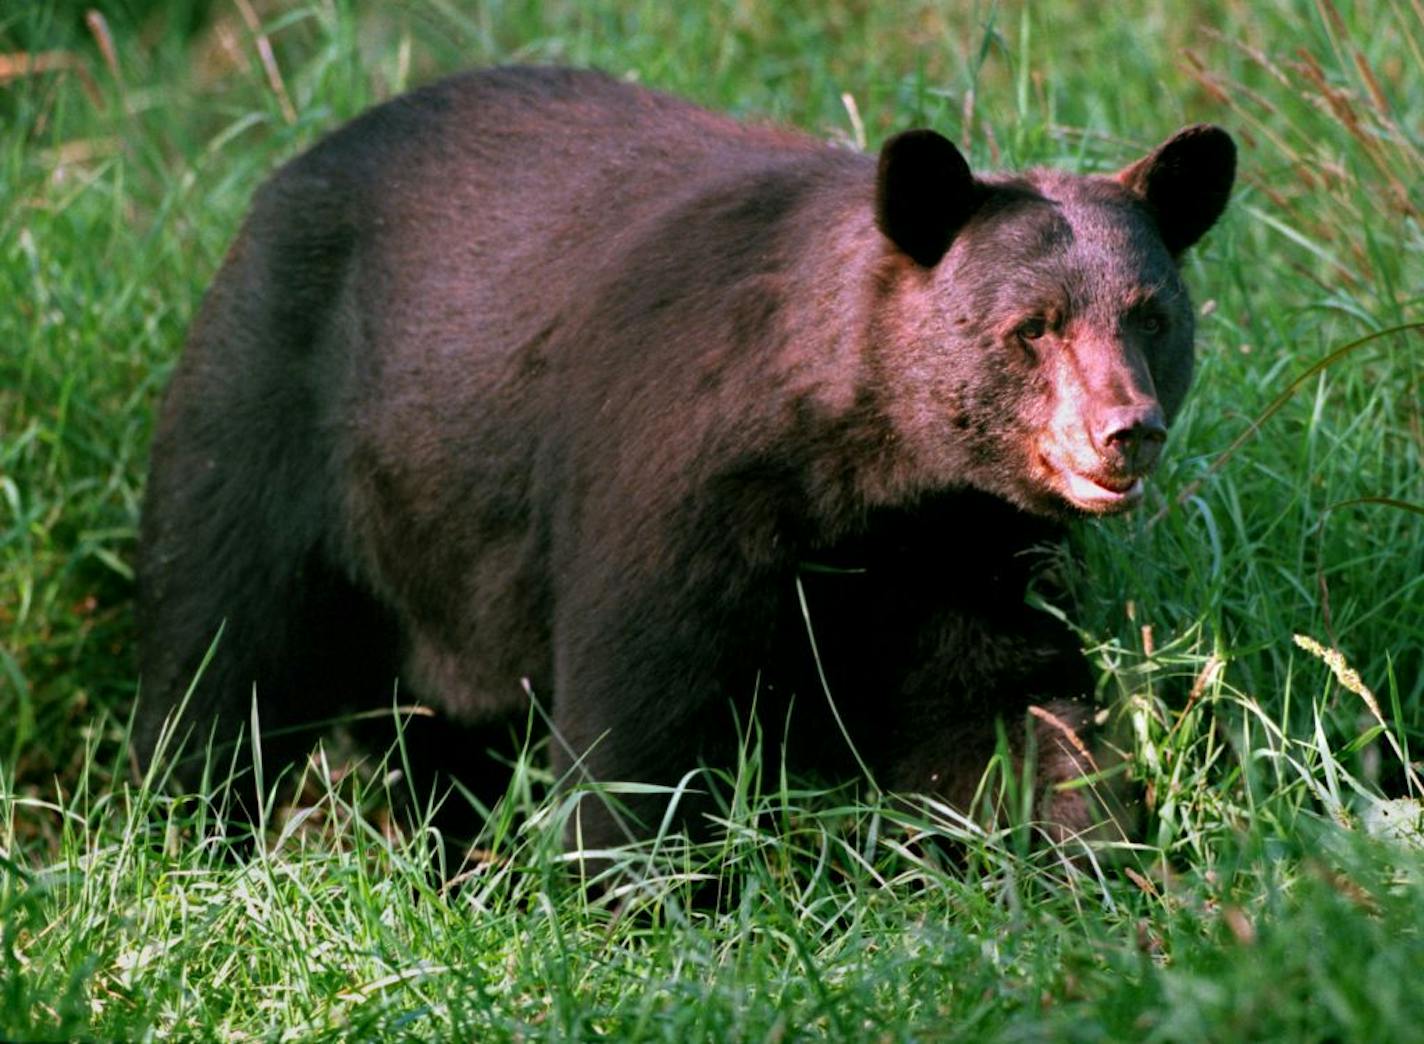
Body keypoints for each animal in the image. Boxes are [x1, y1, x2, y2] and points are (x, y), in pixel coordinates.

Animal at [135, 63, 1236, 848]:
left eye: (1151, 317)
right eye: (1031, 328)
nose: (1125, 431)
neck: (861, 469)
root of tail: (281, 179)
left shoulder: (960, 541)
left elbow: (1001, 710)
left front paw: (1090, 853)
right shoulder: (672, 482)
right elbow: (639, 719)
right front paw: (644, 905)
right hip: (269, 419)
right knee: (219, 653)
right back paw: (179, 844)